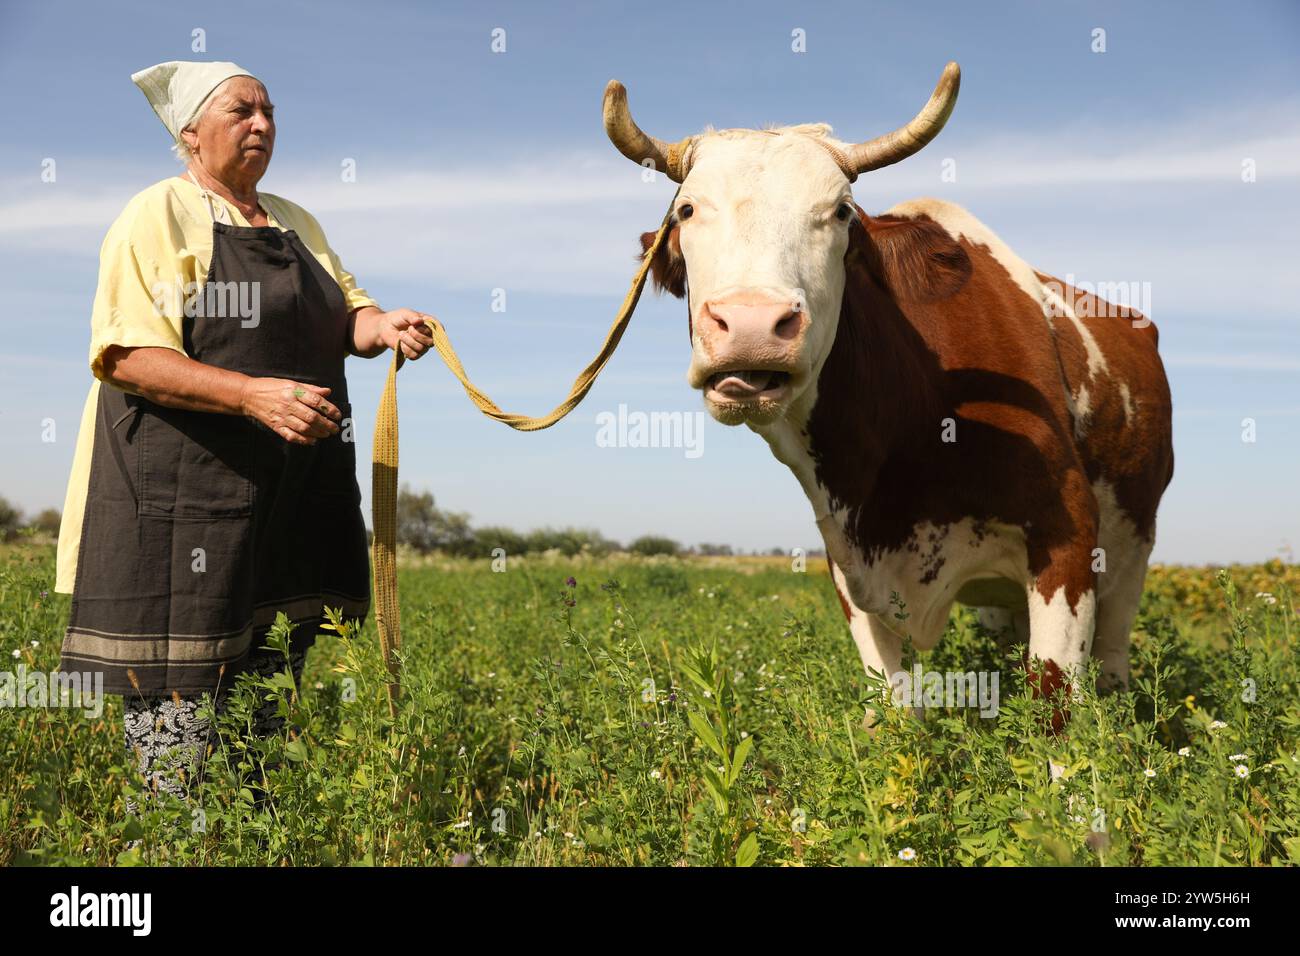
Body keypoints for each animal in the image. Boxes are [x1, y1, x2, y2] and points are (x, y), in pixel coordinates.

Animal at [603, 63, 1174, 734]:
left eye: (841, 212)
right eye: (688, 209)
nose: (751, 323)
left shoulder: (1067, 539)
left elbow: (1054, 708)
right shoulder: (851, 570)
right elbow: (897, 715)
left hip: (1132, 548)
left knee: (1112, 657)